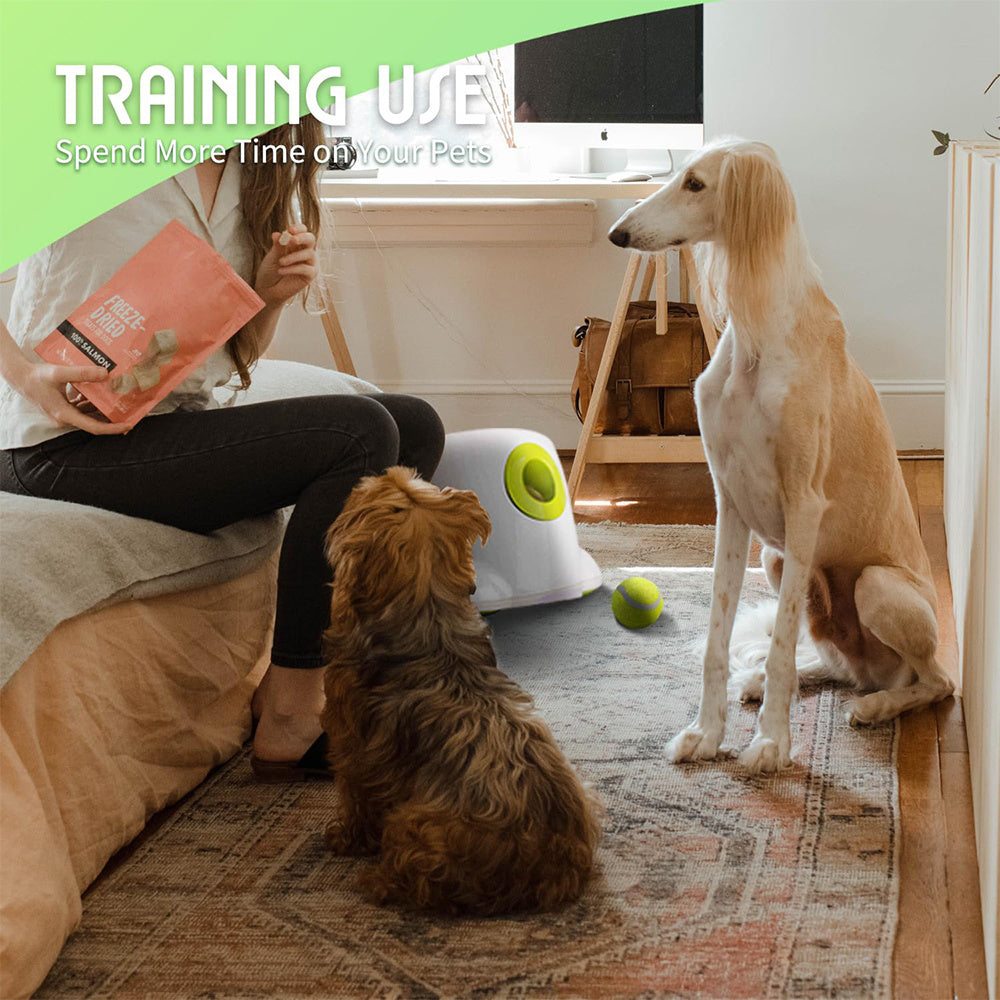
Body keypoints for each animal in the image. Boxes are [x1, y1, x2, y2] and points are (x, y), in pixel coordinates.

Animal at [322, 468, 600, 916]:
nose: (380, 471)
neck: (427, 611)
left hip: (414, 824)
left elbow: (354, 797)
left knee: (422, 883)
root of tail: (549, 866)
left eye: (387, 487)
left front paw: (345, 838)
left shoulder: (349, 744)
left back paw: (377, 882)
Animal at [608, 137, 952, 772]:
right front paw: (706, 733)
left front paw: (770, 743)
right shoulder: (730, 505)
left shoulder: (803, 507)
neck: (756, 341)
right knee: (837, 665)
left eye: (696, 184)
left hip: (878, 586)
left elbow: (782, 643)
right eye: (678, 175)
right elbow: (719, 639)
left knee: (935, 681)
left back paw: (877, 707)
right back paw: (770, 683)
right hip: (772, 559)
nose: (618, 234)